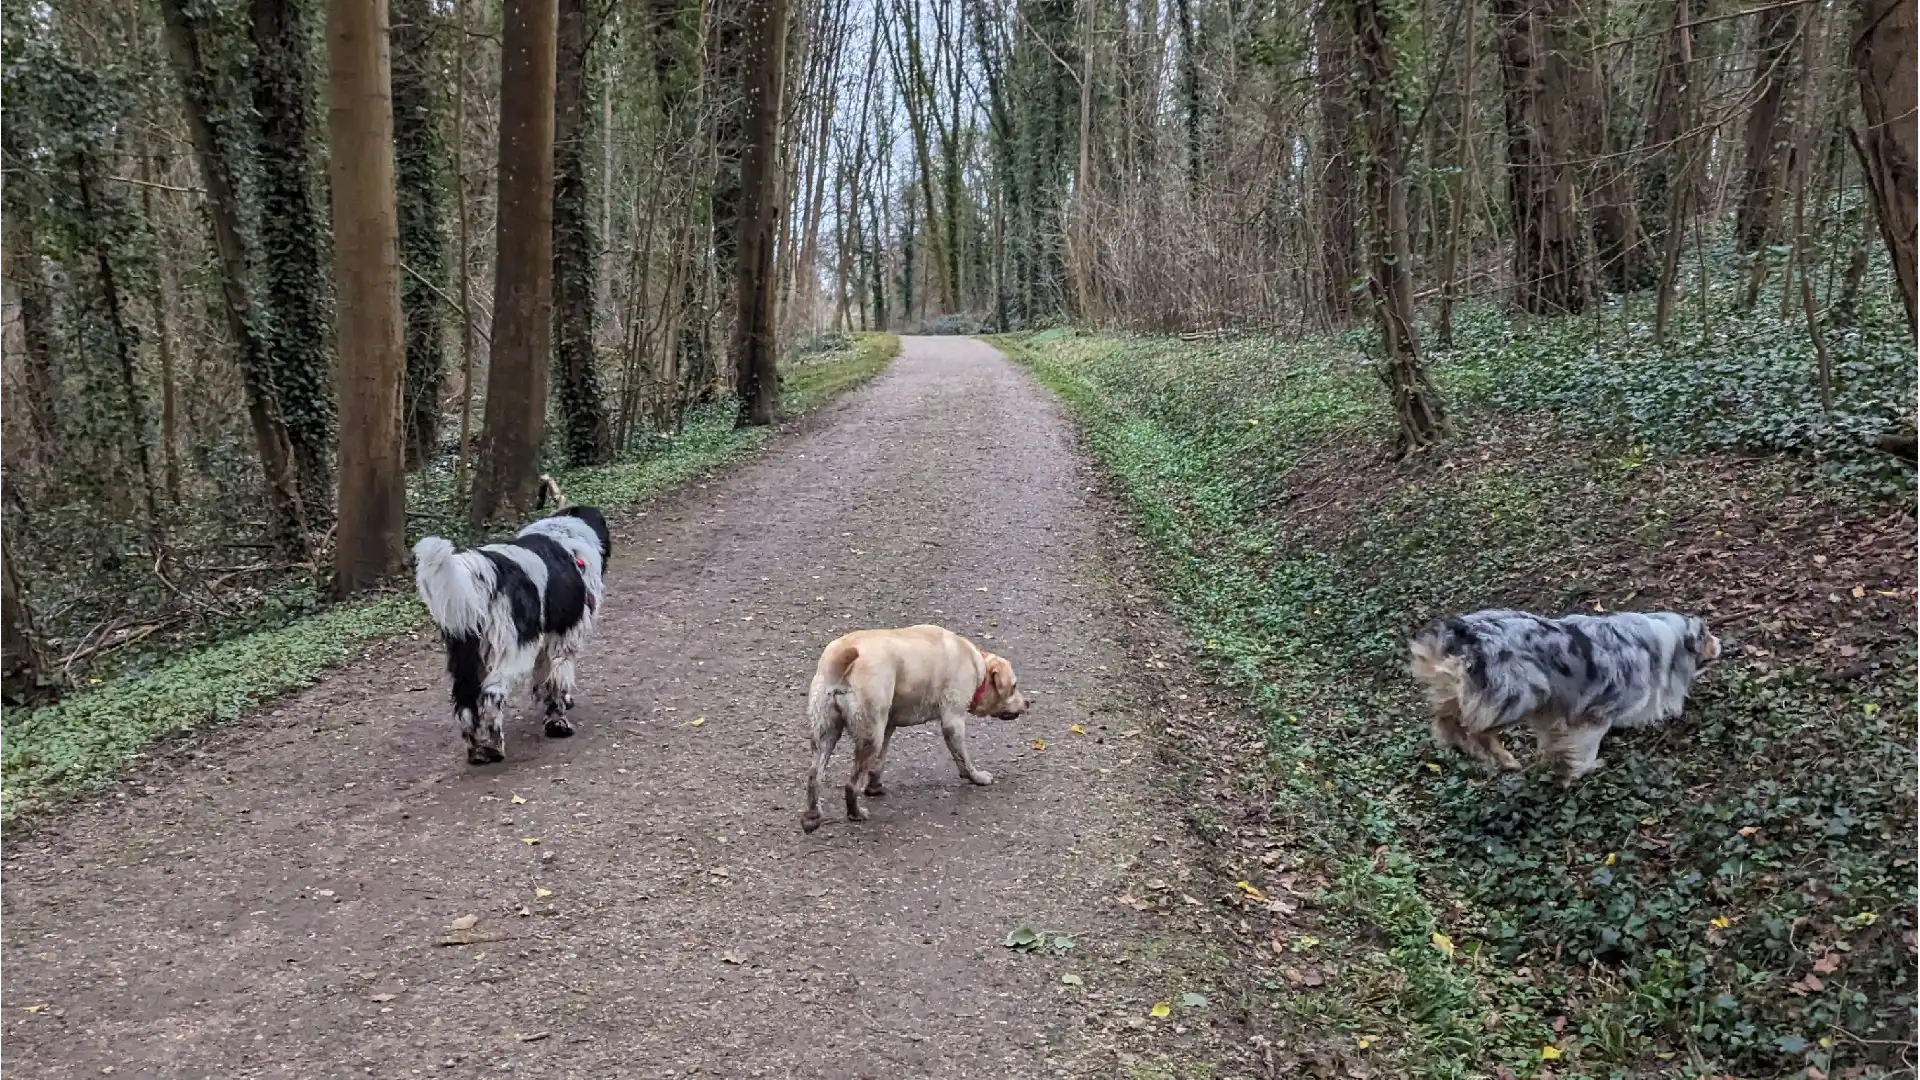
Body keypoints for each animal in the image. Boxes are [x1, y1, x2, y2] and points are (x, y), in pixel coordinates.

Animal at [412, 474, 606, 760]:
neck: (565, 535)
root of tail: (487, 572)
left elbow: (544, 679)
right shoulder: (564, 637)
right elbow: (557, 681)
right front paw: (558, 721)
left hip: (465, 652)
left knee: (465, 702)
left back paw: (477, 750)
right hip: (511, 649)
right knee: (492, 694)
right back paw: (494, 745)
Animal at [798, 622, 1029, 834]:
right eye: (1014, 686)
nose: (1028, 703)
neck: (976, 665)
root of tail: (840, 657)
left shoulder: (888, 726)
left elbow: (879, 763)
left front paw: (874, 786)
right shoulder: (953, 721)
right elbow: (964, 759)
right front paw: (976, 777)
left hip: (828, 731)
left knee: (814, 775)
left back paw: (812, 817)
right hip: (870, 735)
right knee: (851, 785)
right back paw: (856, 813)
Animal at [1413, 611, 1728, 776]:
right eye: (1707, 636)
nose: (1721, 642)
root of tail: (1465, 634)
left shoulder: (1551, 710)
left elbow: (1550, 739)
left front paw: (1548, 758)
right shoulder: (1594, 714)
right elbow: (1588, 746)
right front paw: (1585, 768)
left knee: (1445, 719)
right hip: (1517, 696)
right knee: (1475, 728)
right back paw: (1502, 757)